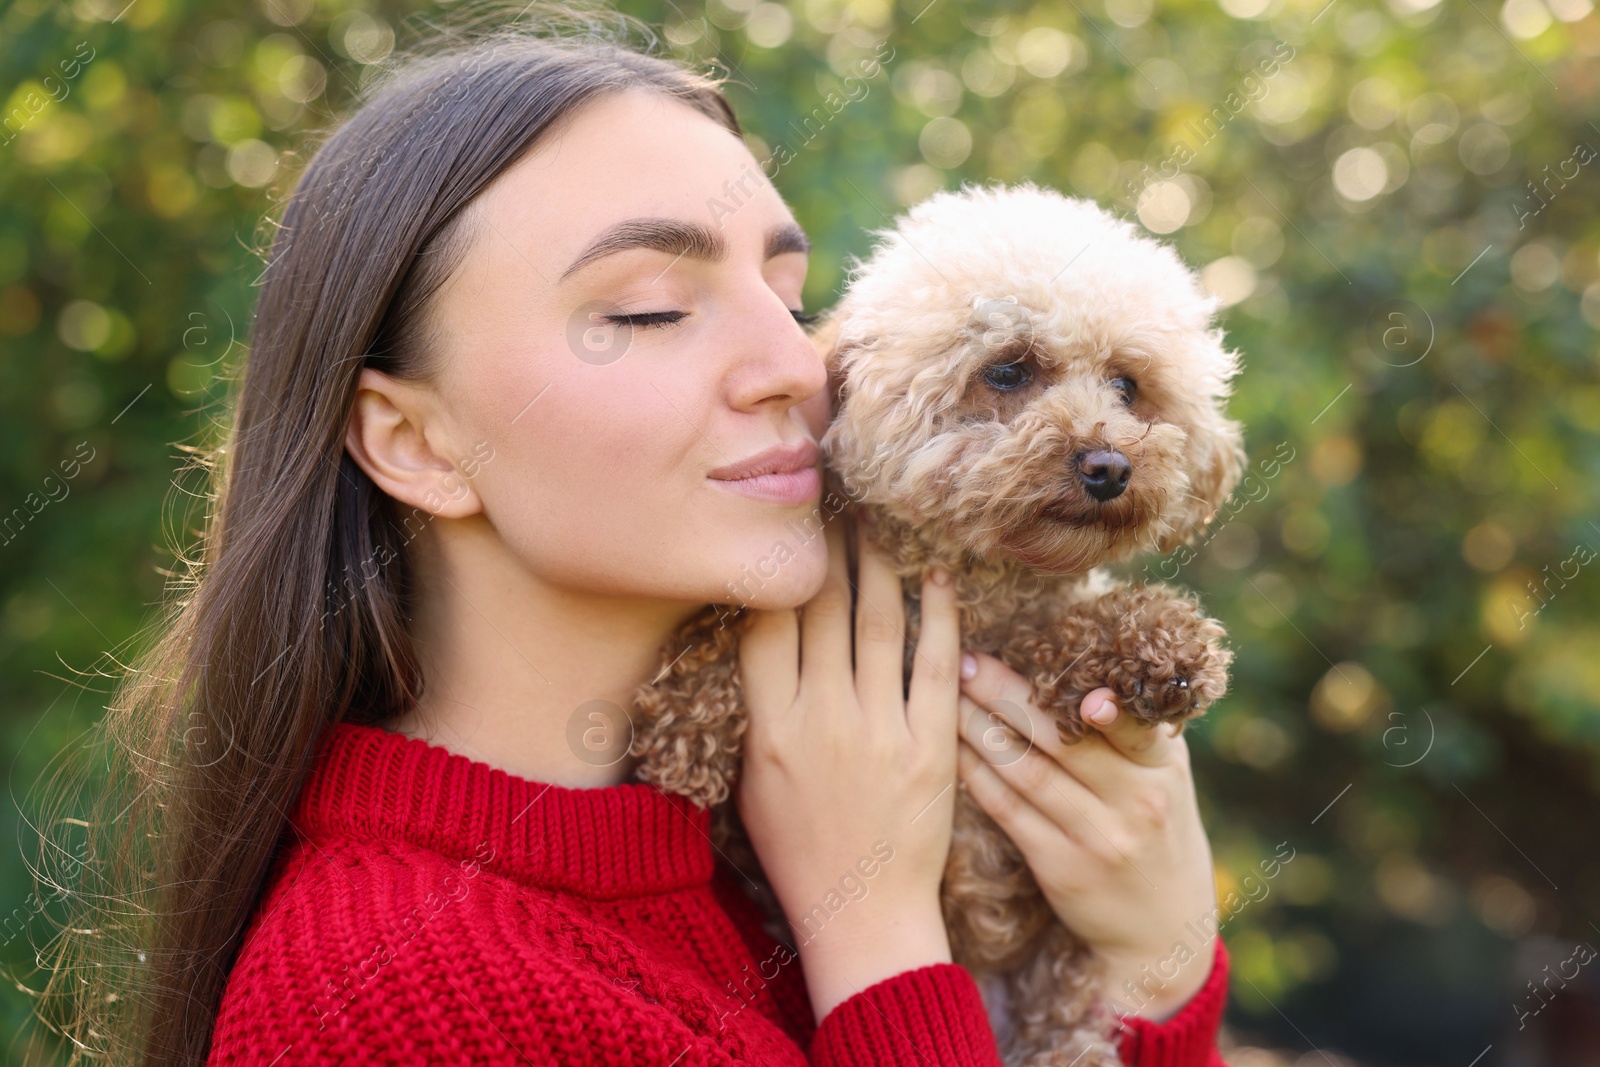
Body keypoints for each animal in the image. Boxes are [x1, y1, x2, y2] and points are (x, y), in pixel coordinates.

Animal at [630, 183, 1241, 1067]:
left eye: (1128, 386)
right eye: (1009, 368)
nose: (1110, 466)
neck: (978, 581)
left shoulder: (1021, 638)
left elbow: (1061, 633)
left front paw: (1163, 645)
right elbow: (730, 626)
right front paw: (685, 724)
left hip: (1058, 979)